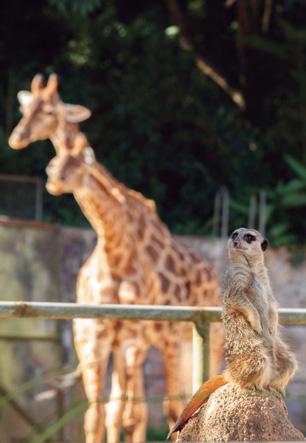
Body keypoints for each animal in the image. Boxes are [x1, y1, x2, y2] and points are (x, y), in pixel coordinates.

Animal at [8, 73, 225, 443]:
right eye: (27, 108)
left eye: (49, 111)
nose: (17, 137)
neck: (115, 245)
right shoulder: (97, 332)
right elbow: (105, 413)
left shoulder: (134, 334)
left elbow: (129, 411)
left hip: (195, 337)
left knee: (179, 400)